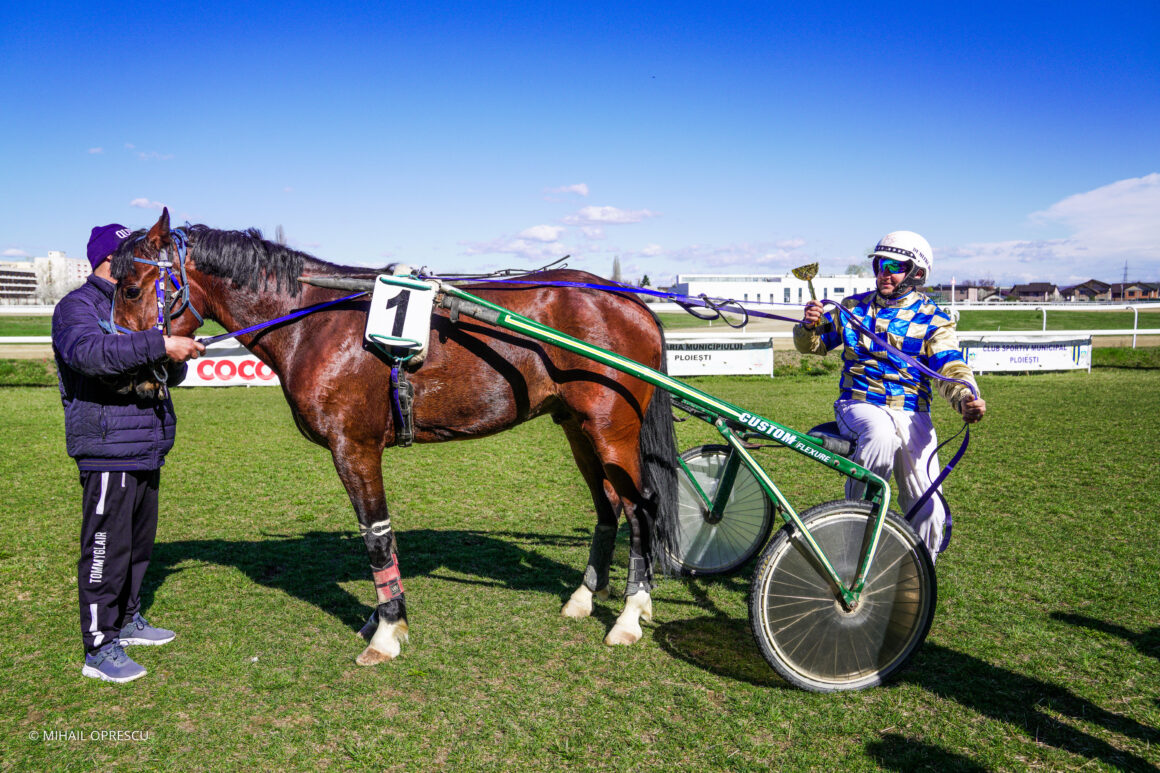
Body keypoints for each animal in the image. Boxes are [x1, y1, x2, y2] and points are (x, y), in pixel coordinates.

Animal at [109, 207, 677, 659]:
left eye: (131, 288)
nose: (128, 376)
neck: (316, 324)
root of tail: (631, 301)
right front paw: (378, 619)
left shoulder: (353, 449)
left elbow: (376, 536)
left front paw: (387, 630)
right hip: (578, 428)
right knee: (608, 508)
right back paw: (586, 597)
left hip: (611, 432)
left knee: (641, 509)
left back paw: (630, 614)